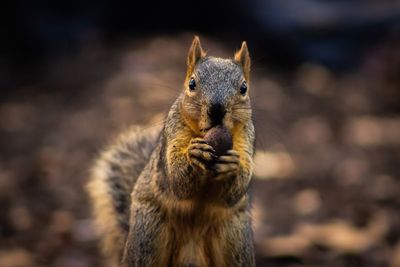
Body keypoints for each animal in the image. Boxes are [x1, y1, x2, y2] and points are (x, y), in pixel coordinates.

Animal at [87, 36, 256, 267]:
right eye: (192, 83)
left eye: (244, 88)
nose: (217, 109)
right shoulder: (173, 134)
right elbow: (177, 181)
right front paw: (193, 155)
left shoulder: (246, 142)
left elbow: (232, 193)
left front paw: (232, 167)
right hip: (148, 234)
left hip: (235, 240)